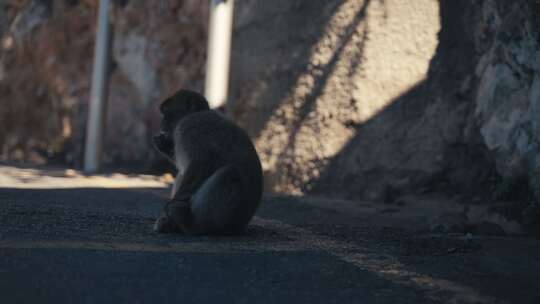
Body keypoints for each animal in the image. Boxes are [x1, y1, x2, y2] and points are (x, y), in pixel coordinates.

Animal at [152, 88, 264, 235]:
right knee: (183, 173)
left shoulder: (191, 126)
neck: (198, 112)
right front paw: (164, 145)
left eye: (167, 113)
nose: (162, 124)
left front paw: (171, 205)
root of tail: (240, 227)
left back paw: (192, 224)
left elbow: (203, 162)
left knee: (229, 174)